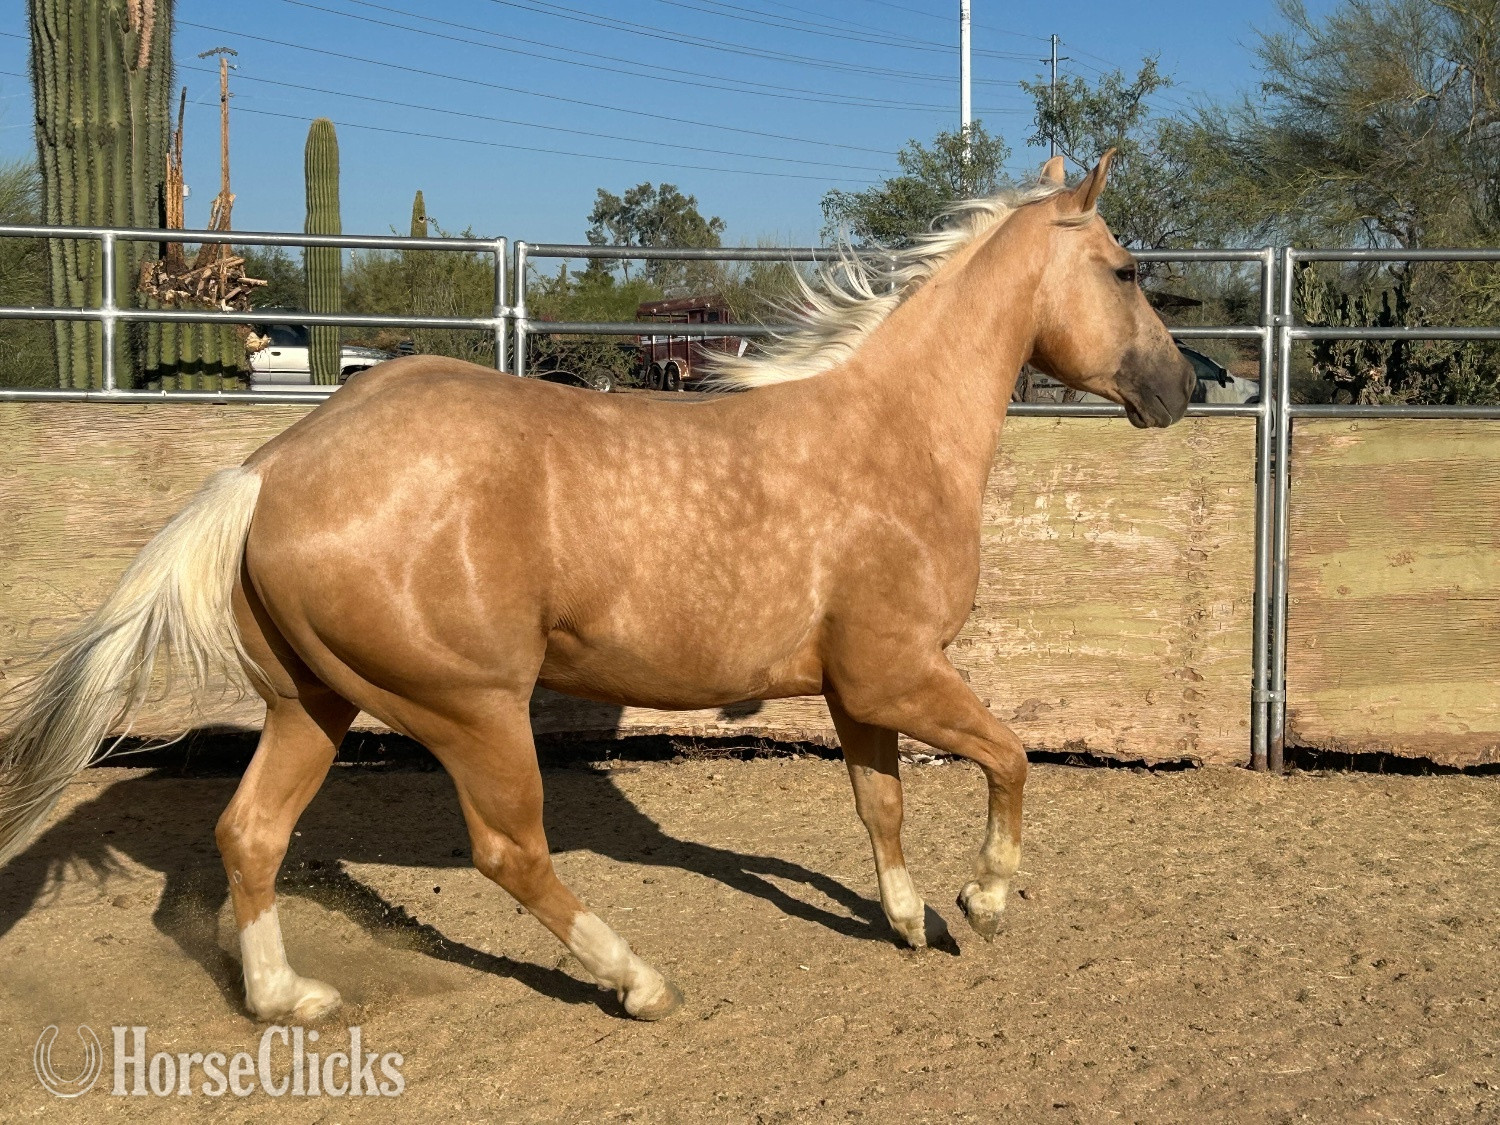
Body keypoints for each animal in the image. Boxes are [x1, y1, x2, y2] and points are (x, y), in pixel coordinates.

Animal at [0, 152, 1193, 1023]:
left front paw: (909, 922)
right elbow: (1011, 757)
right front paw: (983, 901)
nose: (1184, 387)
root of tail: (270, 470)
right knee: (508, 851)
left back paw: (289, 997)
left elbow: (880, 805)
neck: (894, 436)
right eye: (1126, 271)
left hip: (312, 703)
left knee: (251, 834)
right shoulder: (898, 673)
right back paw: (639, 980)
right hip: (471, 708)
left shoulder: (858, 690)